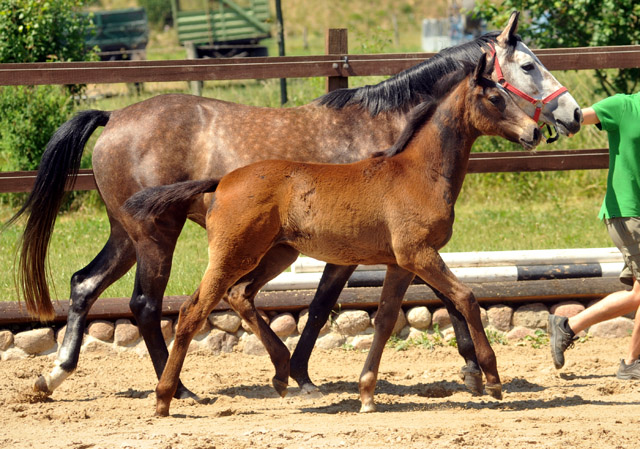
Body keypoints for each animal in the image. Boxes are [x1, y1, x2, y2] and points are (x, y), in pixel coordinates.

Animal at [124, 54, 540, 414]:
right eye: (495, 97)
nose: (535, 131)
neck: (418, 172)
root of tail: (222, 181)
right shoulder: (419, 253)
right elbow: (466, 297)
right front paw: (492, 377)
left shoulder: (400, 263)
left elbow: (385, 319)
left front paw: (367, 392)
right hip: (232, 256)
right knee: (192, 312)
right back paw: (166, 397)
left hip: (276, 254)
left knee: (235, 296)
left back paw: (278, 375)